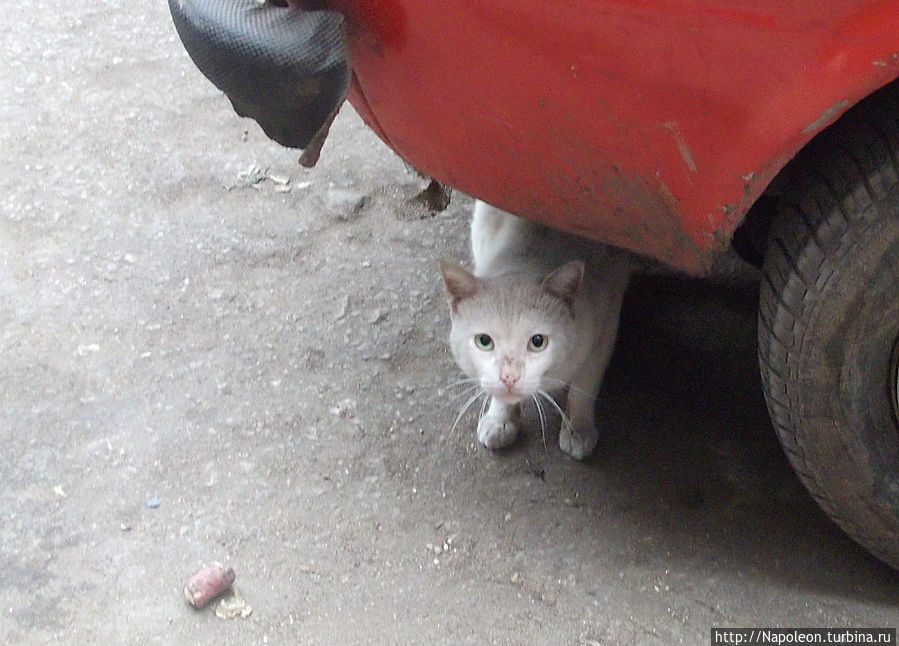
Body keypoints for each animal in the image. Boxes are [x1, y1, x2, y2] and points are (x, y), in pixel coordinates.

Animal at [440, 202, 636, 460]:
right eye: (484, 341)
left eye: (537, 342)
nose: (509, 377)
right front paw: (499, 420)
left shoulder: (604, 325)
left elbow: (584, 387)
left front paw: (578, 430)